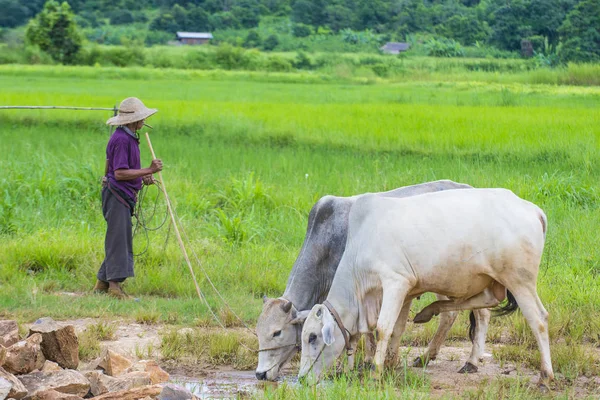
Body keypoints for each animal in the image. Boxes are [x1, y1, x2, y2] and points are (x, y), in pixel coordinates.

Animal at [255, 180, 490, 380]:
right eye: (258, 332)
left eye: (277, 332)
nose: (260, 374)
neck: (328, 242)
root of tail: (470, 187)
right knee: (451, 314)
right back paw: (427, 357)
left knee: (479, 313)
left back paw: (471, 362)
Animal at [298, 189, 552, 386]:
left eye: (312, 337)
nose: (301, 379)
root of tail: (533, 210)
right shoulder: (407, 290)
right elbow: (397, 329)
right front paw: (390, 364)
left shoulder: (395, 282)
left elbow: (383, 328)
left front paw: (376, 372)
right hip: (492, 280)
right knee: (487, 303)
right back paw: (437, 321)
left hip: (519, 280)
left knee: (538, 319)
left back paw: (545, 376)